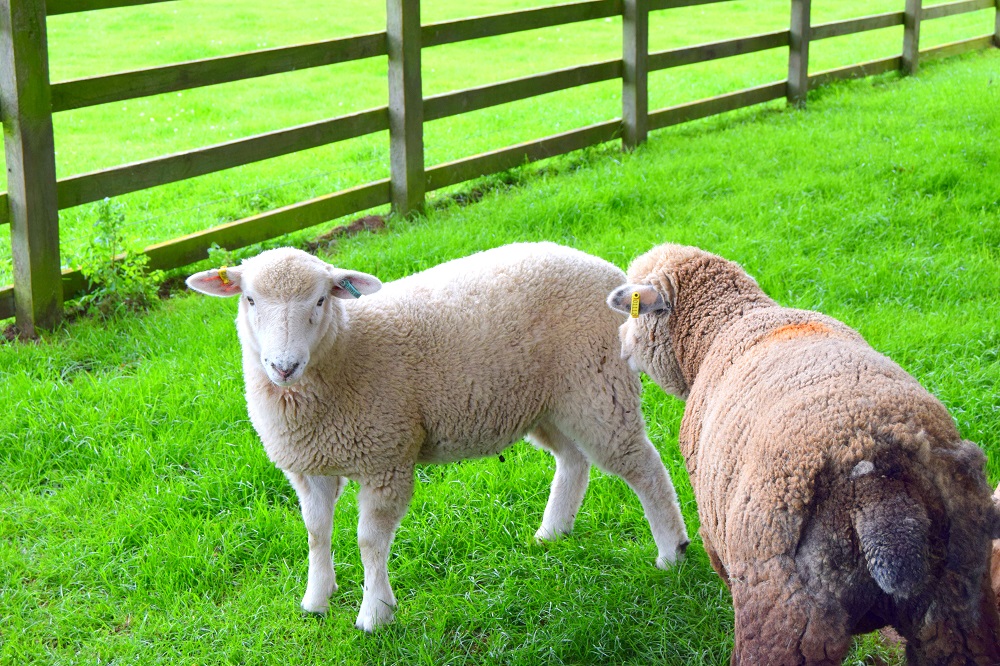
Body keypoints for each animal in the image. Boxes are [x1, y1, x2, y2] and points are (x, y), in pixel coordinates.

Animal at [186, 242, 688, 631]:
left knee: (643, 467)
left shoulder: (386, 457)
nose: (283, 366)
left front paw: (375, 613)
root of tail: (609, 271)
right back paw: (552, 532)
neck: (345, 350)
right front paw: (316, 599)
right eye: (250, 299)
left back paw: (672, 551)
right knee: (573, 461)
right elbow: (315, 531)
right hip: (547, 403)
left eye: (320, 301)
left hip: (597, 389)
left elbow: (369, 542)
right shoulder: (309, 467)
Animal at [607, 243, 1000, 665]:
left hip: (782, 615)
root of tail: (879, 486)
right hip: (955, 615)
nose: (620, 343)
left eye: (634, 313)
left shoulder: (715, 533)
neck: (726, 326)